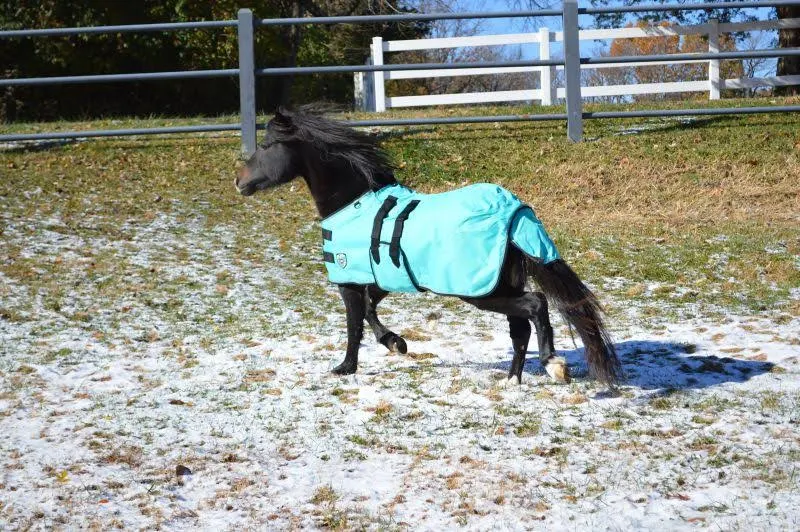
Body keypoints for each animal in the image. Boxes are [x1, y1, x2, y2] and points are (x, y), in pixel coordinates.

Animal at [234, 106, 621, 386]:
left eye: (266, 146)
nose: (239, 181)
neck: (353, 205)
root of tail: (512, 212)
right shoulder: (385, 277)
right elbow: (371, 310)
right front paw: (395, 342)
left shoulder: (349, 280)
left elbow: (354, 322)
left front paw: (346, 367)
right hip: (503, 285)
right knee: (520, 327)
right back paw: (512, 380)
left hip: (481, 292)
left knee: (535, 305)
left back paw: (553, 364)